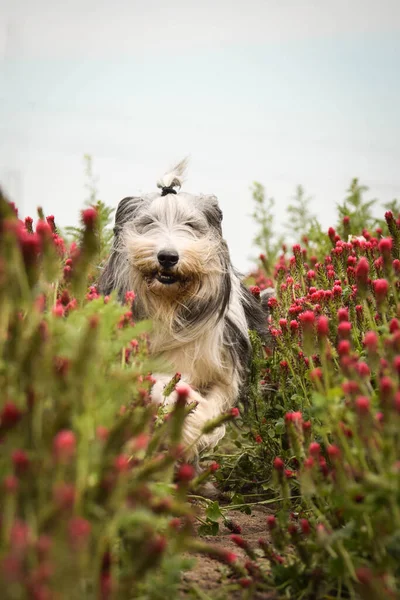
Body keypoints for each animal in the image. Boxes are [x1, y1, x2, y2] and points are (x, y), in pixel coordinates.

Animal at [97, 161, 268, 460]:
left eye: (191, 225)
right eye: (148, 223)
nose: (167, 257)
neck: (171, 304)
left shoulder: (227, 363)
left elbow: (220, 396)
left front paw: (202, 428)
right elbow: (159, 383)